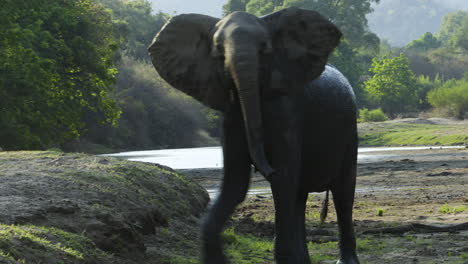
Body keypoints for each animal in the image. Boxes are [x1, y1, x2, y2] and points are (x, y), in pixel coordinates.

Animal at [149, 7, 358, 262]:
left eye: (264, 48)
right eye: (218, 51)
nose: (263, 167)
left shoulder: (287, 112)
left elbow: (282, 178)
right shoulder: (232, 117)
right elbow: (235, 183)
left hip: (350, 130)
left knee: (342, 192)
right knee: (299, 195)